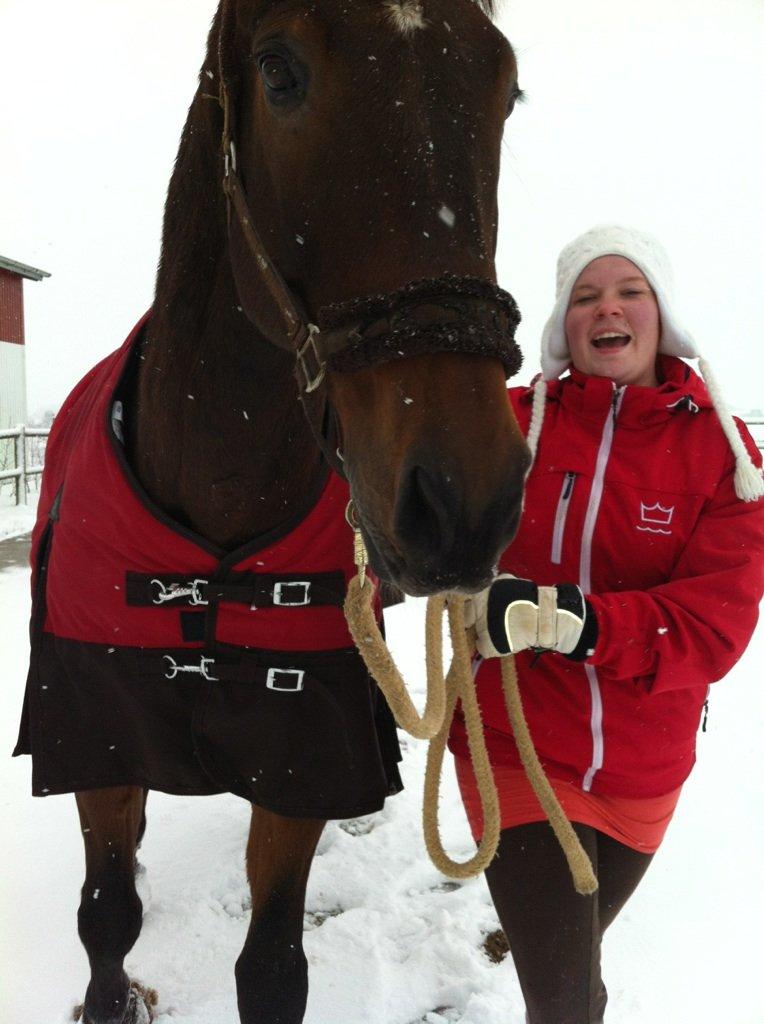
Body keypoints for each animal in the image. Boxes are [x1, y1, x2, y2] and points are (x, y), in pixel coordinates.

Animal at [55, 2, 524, 1024]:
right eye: (280, 73)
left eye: (505, 87)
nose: (464, 502)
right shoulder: (99, 741)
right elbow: (107, 917)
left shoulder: (301, 766)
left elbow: (271, 967)